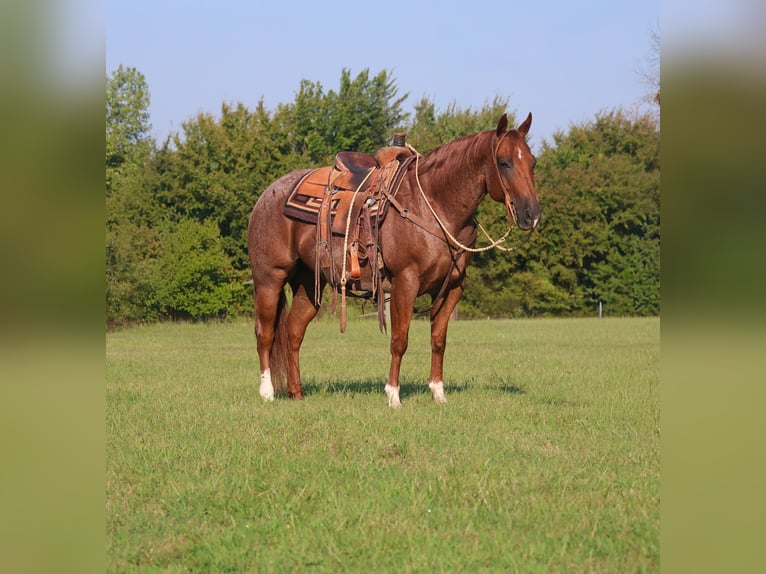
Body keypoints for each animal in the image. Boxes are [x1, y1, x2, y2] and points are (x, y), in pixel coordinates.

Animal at [247, 113, 540, 407]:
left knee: (293, 332)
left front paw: (438, 393)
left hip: (309, 284)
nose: (532, 214)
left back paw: (296, 393)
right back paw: (266, 392)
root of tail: (268, 195)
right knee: (265, 334)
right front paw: (393, 395)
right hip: (269, 279)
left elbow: (438, 339)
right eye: (504, 162)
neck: (434, 204)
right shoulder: (405, 282)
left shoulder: (453, 287)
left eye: (532, 162)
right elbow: (400, 340)